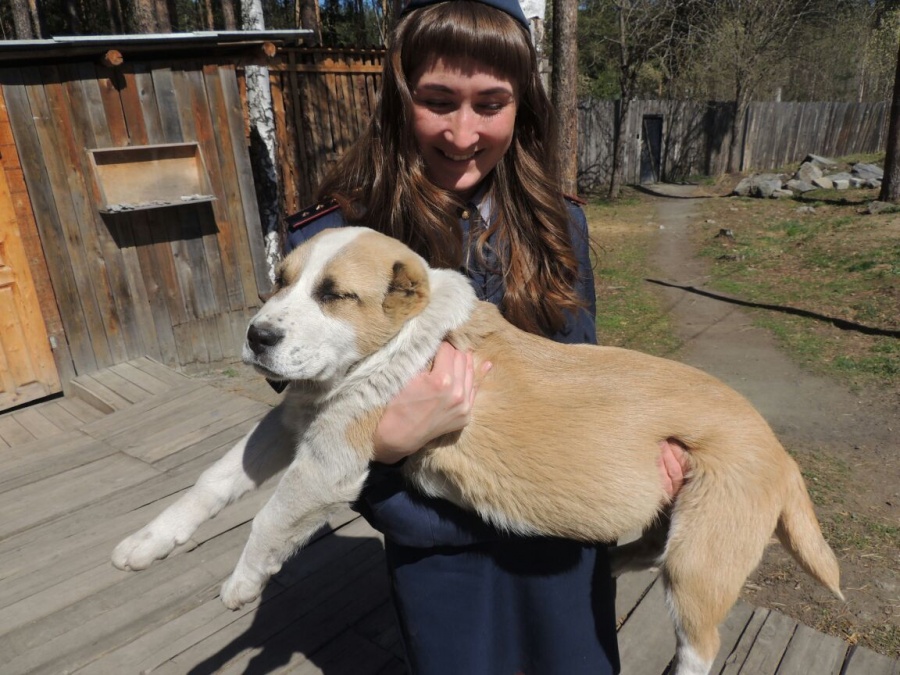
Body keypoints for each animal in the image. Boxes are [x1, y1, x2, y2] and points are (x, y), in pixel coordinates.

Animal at [114, 226, 844, 675]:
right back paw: (614, 558)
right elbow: (211, 482)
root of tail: (780, 452)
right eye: (280, 281)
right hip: (679, 522)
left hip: (702, 558)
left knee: (701, 642)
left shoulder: (328, 463)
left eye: (334, 294)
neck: (397, 343)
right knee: (647, 548)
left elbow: (268, 518)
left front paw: (241, 584)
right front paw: (148, 543)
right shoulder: (291, 420)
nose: (257, 336)